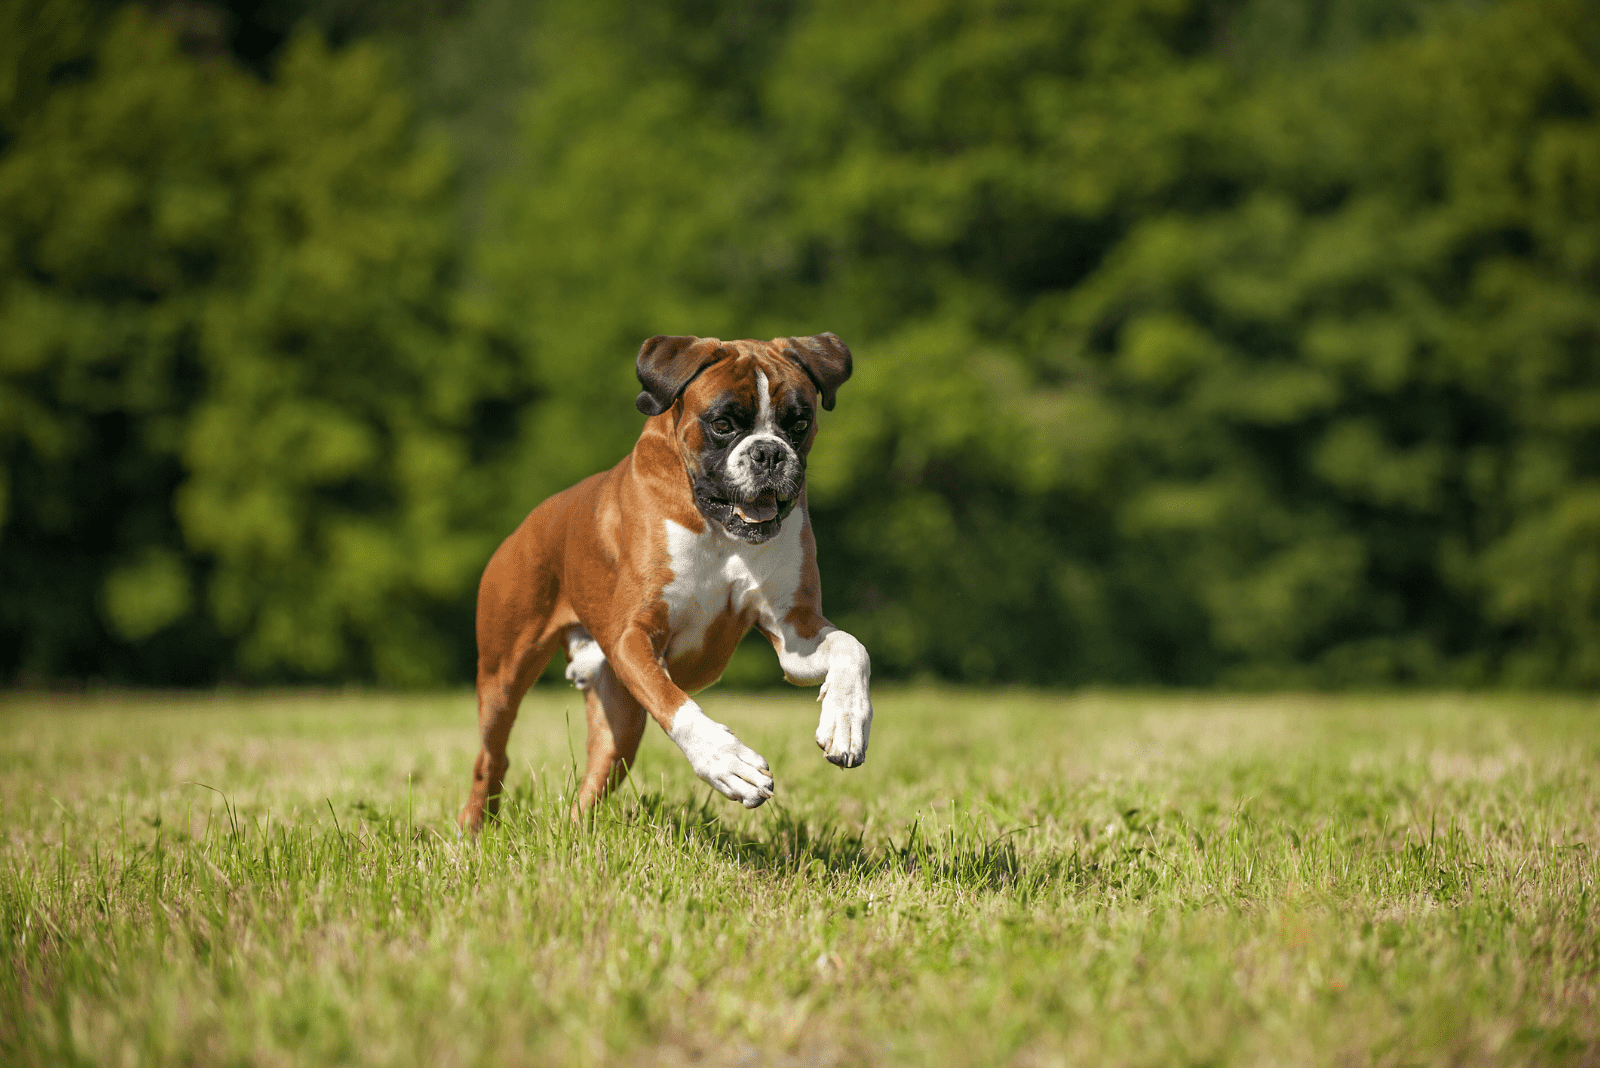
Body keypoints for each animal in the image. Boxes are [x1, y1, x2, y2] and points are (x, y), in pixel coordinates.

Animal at [460, 329, 876, 831]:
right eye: (722, 424)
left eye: (799, 423)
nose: (769, 452)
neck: (719, 529)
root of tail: (527, 525)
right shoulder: (633, 636)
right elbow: (676, 705)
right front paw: (726, 762)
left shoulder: (795, 633)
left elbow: (852, 648)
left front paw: (846, 722)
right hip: (503, 676)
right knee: (491, 759)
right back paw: (473, 831)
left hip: (619, 726)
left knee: (591, 785)